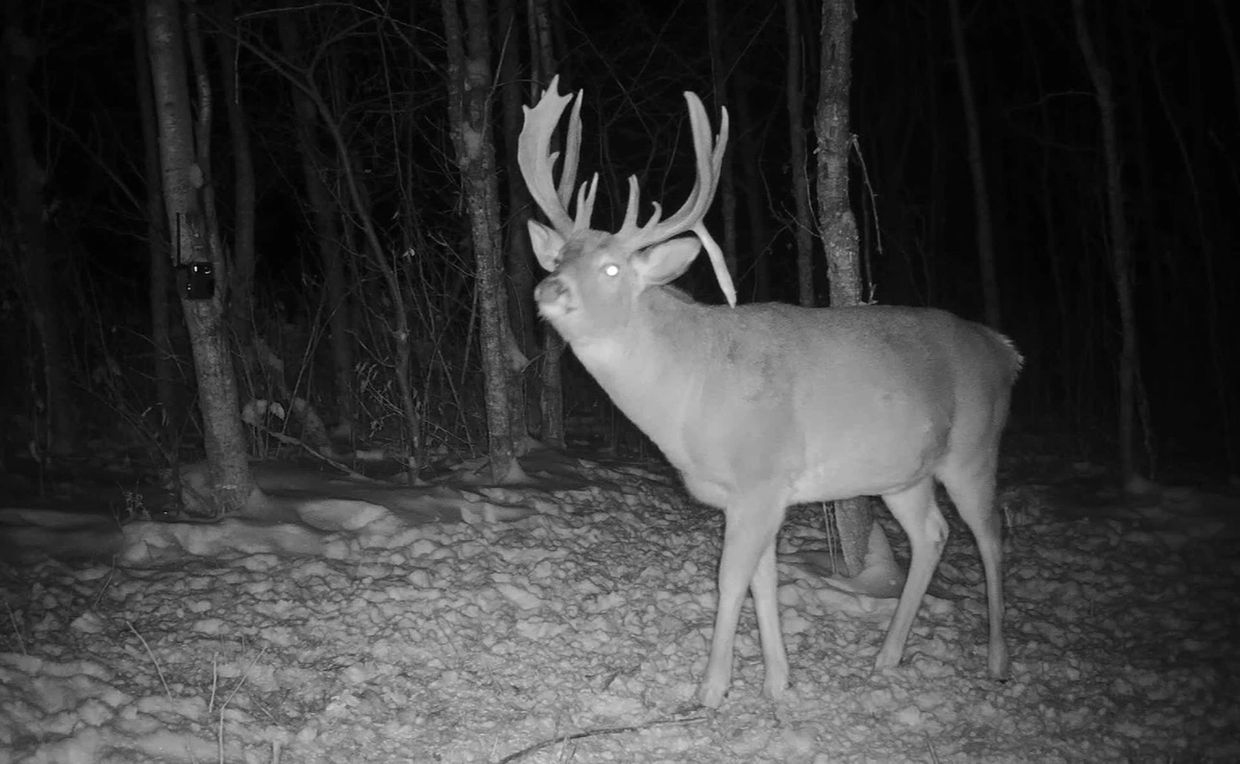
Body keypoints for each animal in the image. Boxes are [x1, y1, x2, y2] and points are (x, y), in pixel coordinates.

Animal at [518, 76, 1021, 709]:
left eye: (611, 269)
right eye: (561, 256)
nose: (549, 288)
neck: (691, 392)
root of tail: (1006, 351)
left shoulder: (762, 479)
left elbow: (731, 578)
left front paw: (712, 688)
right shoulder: (755, 496)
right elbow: (763, 579)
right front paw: (779, 681)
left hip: (975, 448)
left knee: (991, 535)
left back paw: (998, 662)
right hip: (903, 473)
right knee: (932, 534)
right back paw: (886, 657)